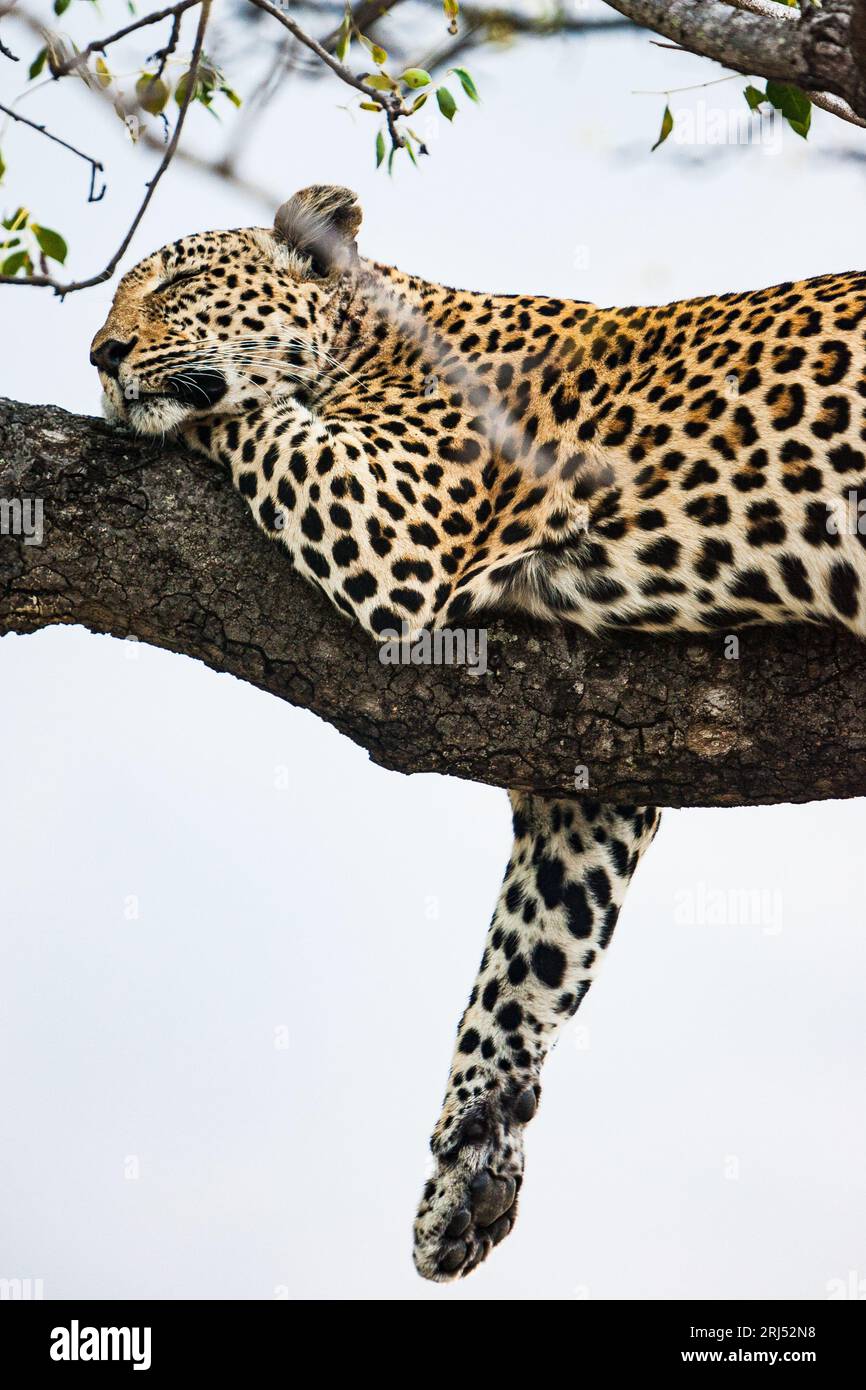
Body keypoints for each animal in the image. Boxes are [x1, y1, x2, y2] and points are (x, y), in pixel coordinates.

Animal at [91, 182, 866, 1278]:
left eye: (181, 281)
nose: (98, 355)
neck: (374, 332)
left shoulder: (393, 525)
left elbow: (248, 415)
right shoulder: (588, 764)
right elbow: (531, 950)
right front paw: (468, 1164)